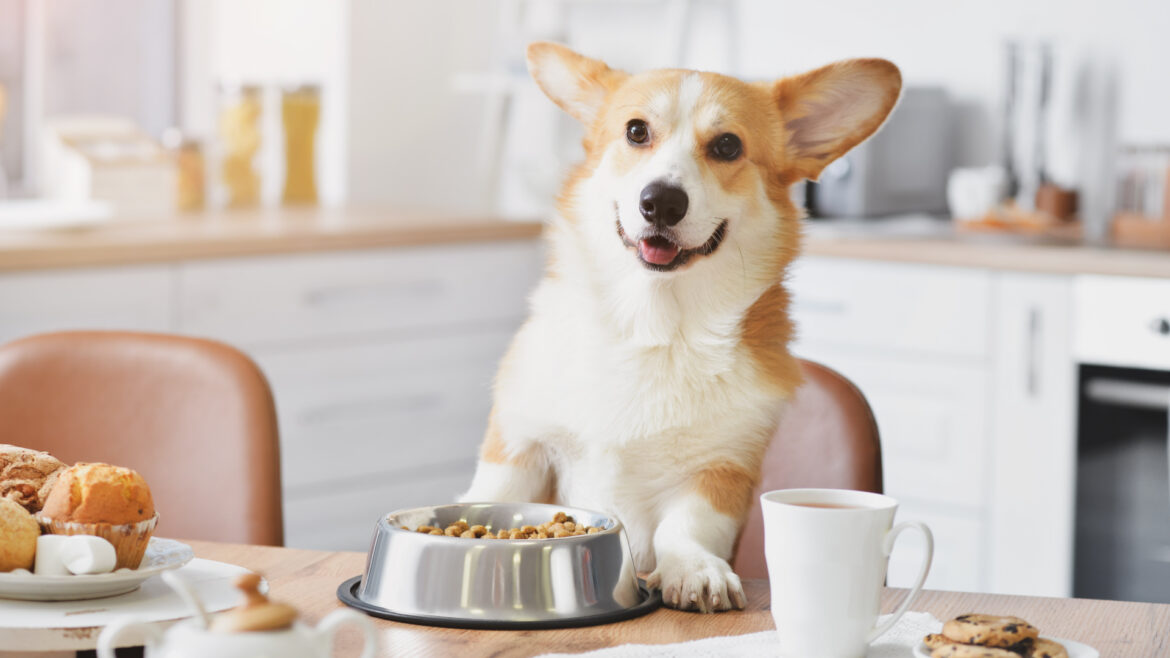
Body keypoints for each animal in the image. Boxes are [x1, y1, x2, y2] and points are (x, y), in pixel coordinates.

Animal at [460, 42, 898, 608]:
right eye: (636, 132)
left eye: (728, 145)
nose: (661, 201)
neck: (652, 326)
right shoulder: (520, 445)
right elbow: (492, 495)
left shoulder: (722, 471)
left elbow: (687, 526)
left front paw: (694, 569)